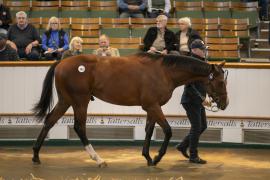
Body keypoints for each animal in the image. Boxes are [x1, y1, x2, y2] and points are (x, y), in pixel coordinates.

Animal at [32, 53, 229, 167]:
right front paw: (157, 157)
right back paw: (98, 159)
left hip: (66, 101)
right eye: (220, 82)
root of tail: (61, 62)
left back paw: (35, 155)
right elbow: (167, 130)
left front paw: (148, 157)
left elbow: (149, 130)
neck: (164, 72)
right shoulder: (152, 106)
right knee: (79, 127)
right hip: (80, 101)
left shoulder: (152, 107)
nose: (225, 103)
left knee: (49, 121)